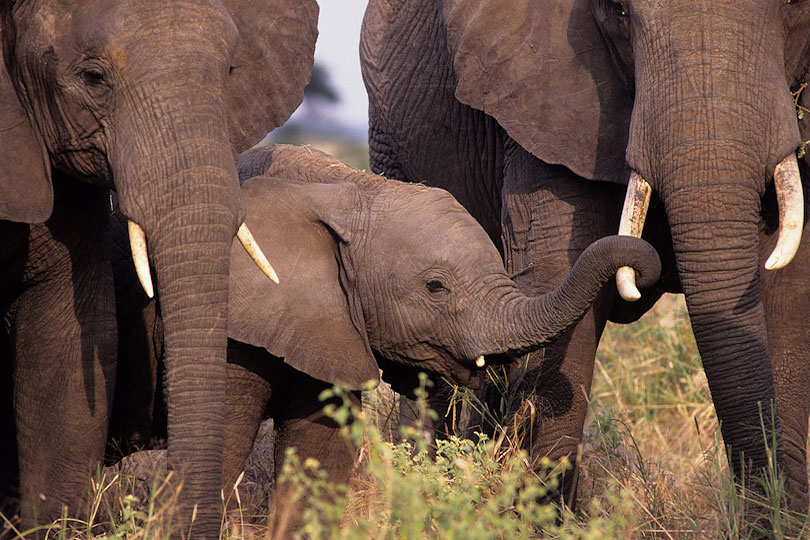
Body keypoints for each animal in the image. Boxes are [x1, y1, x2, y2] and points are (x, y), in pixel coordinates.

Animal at [105, 143, 656, 532]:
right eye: (435, 287)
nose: (640, 272)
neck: (347, 191)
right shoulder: (237, 325)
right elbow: (222, 444)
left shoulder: (333, 328)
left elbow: (321, 460)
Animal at [360, 0, 808, 516]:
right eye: (619, 12)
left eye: (795, 7)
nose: (647, 262)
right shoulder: (543, 98)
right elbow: (556, 274)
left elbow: (789, 297)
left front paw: (783, 521)